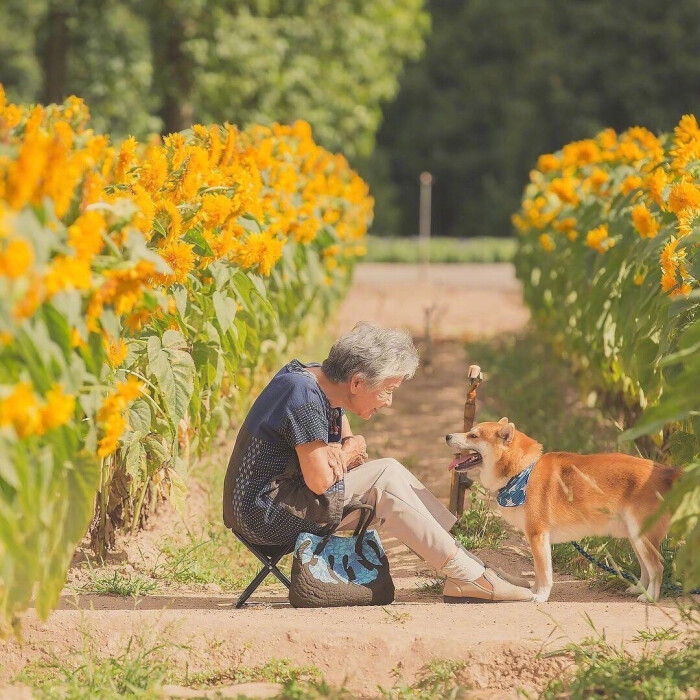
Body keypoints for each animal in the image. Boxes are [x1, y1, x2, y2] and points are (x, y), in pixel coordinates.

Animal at [446, 418, 680, 604]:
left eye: (473, 435)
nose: (447, 436)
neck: (522, 472)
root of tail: (663, 471)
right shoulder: (536, 540)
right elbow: (538, 572)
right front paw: (534, 590)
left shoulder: (538, 536)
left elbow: (545, 573)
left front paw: (541, 596)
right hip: (635, 537)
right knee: (646, 569)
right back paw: (639, 589)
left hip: (642, 537)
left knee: (657, 568)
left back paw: (650, 597)